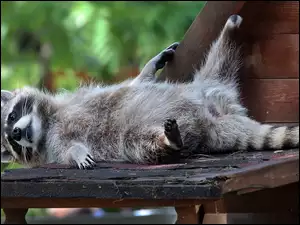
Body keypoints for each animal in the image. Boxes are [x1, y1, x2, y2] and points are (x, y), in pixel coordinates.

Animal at [1, 14, 298, 169]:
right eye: (13, 145)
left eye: (11, 117)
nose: (15, 133)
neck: (48, 122)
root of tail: (214, 120)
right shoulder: (53, 144)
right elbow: (66, 151)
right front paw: (76, 154)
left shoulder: (82, 97)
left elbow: (131, 85)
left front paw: (148, 67)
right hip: (153, 133)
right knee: (140, 143)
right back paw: (168, 141)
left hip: (210, 86)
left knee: (220, 60)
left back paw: (229, 32)